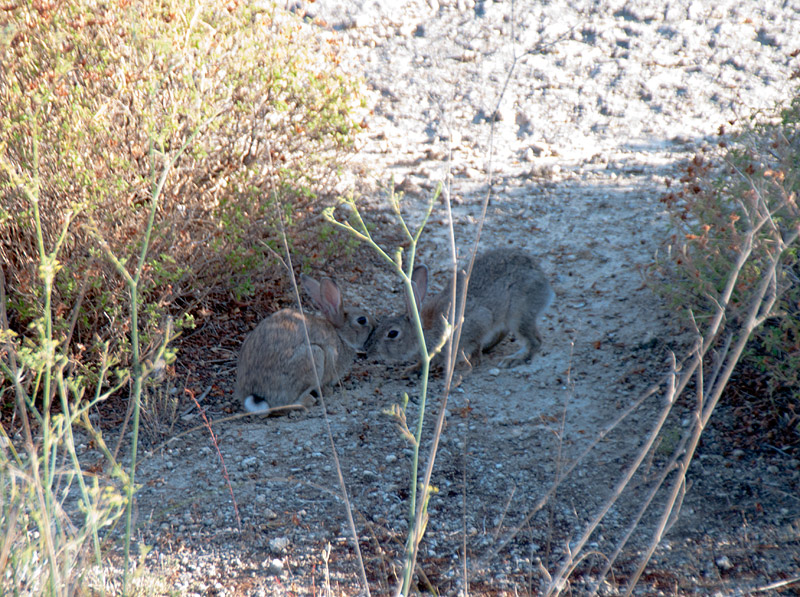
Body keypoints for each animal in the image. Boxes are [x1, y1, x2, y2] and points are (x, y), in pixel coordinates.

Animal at [234, 274, 376, 410]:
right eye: (362, 320)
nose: (375, 326)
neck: (340, 335)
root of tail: (256, 394)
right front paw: (328, 391)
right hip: (314, 358)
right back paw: (308, 401)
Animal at [366, 246, 552, 368]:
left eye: (392, 333)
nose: (368, 350)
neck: (424, 331)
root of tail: (544, 280)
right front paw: (413, 369)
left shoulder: (475, 324)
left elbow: (475, 346)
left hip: (518, 315)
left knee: (535, 341)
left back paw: (513, 360)